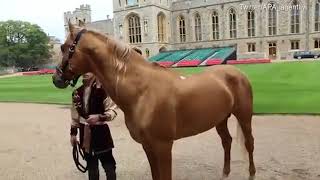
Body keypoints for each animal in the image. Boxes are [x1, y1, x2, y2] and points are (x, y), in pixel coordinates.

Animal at [53, 21, 256, 179]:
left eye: (64, 47)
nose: (56, 79)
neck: (143, 92)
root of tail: (236, 72)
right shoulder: (148, 146)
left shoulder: (163, 146)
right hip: (220, 119)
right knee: (227, 141)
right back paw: (225, 173)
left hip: (244, 117)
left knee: (249, 143)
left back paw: (252, 173)